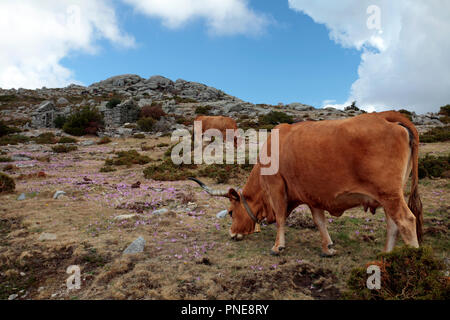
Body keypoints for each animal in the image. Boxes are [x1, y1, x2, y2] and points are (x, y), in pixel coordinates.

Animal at [189, 111, 422, 256]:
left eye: (230, 212)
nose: (231, 234)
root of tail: (386, 117)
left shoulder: (277, 188)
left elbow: (281, 218)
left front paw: (278, 246)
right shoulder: (312, 195)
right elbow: (320, 221)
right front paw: (328, 248)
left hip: (389, 194)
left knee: (406, 221)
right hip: (389, 195)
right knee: (393, 224)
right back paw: (386, 259)